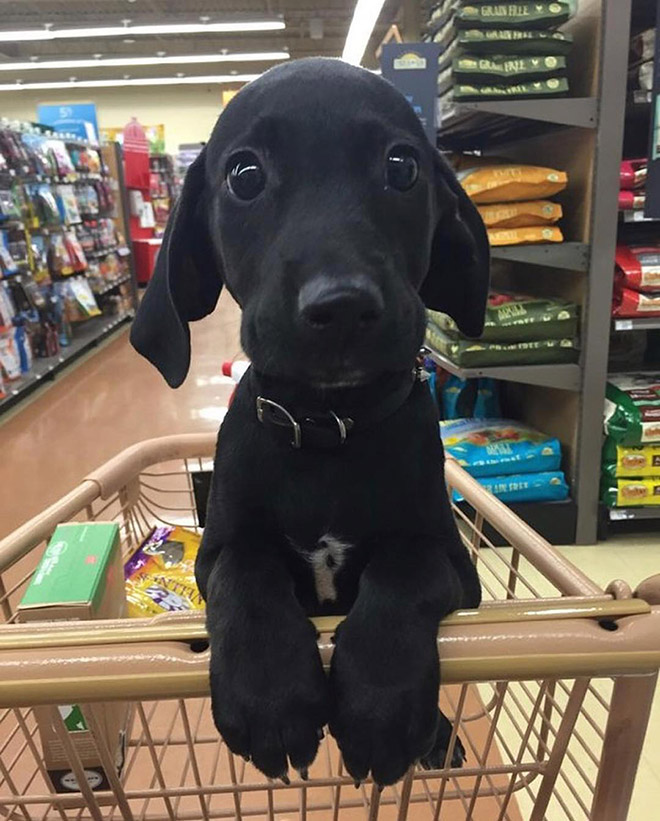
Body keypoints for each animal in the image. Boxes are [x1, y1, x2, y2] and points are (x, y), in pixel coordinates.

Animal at [130, 57, 490, 788]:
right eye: (244, 176)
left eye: (403, 166)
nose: (343, 305)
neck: (328, 429)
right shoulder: (216, 551)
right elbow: (248, 574)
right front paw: (270, 694)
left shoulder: (456, 564)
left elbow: (405, 568)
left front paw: (380, 706)